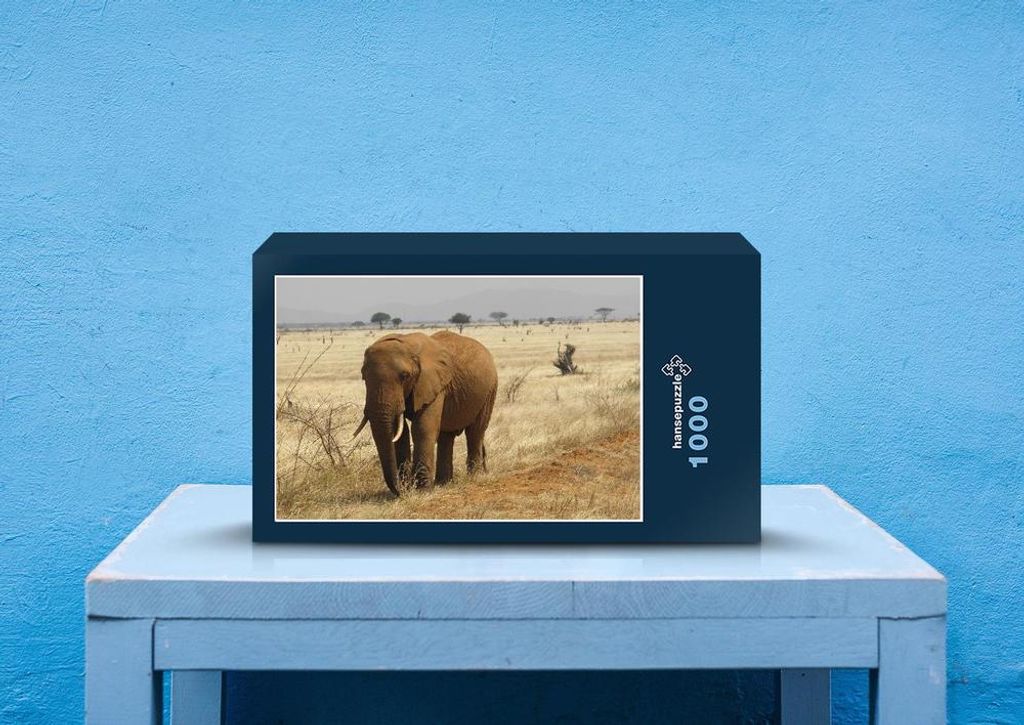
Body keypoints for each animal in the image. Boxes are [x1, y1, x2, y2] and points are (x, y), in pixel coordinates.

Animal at [352, 331, 498, 496]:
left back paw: (474, 477)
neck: (407, 343)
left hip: (489, 390)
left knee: (475, 431)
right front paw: (410, 488)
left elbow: (422, 428)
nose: (402, 490)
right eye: (363, 377)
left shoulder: (433, 385)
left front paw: (422, 491)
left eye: (404, 376)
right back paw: (443, 483)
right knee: (446, 436)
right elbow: (401, 433)